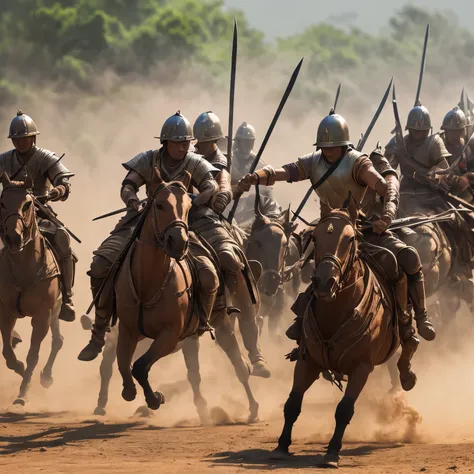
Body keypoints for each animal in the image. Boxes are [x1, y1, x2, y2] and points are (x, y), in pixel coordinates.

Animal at [0, 172, 63, 406]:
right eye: (2, 203)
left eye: (27, 204)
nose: (13, 237)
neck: (25, 267)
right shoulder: (6, 313)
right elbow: (8, 353)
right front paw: (19, 368)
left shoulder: (42, 316)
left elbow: (33, 355)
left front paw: (22, 392)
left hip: (56, 309)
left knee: (57, 341)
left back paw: (46, 377)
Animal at [112, 168, 260, 420]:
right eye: (159, 205)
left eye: (188, 208)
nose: (178, 242)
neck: (148, 286)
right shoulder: (128, 331)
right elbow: (124, 365)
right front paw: (131, 391)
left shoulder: (169, 336)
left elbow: (139, 366)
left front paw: (155, 398)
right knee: (195, 374)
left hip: (221, 321)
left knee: (238, 364)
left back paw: (253, 407)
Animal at [272, 198, 416, 468]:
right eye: (315, 238)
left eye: (350, 239)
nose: (324, 283)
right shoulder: (307, 361)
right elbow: (292, 403)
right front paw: (281, 446)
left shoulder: (361, 368)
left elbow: (344, 409)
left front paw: (332, 452)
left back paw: (407, 372)